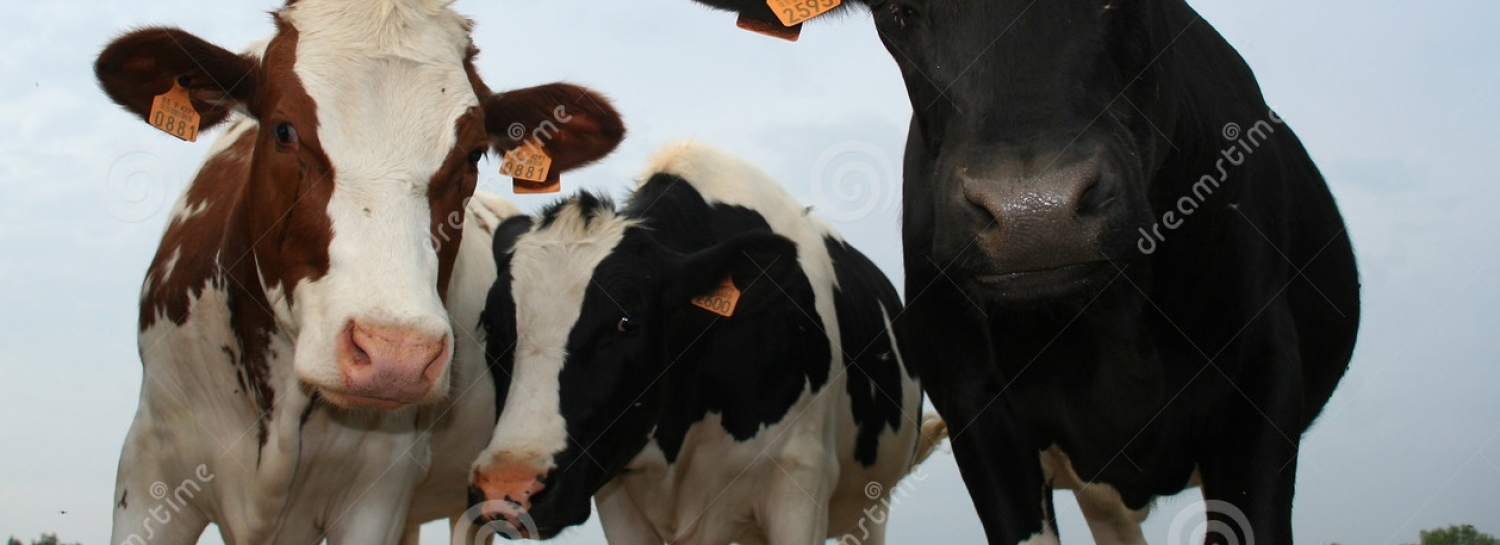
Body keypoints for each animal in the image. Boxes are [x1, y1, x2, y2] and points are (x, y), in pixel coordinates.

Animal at [468, 143, 942, 543]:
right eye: (491, 325)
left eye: (627, 322)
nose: (507, 486)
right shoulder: (615, 492)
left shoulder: (800, 483)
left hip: (873, 504)